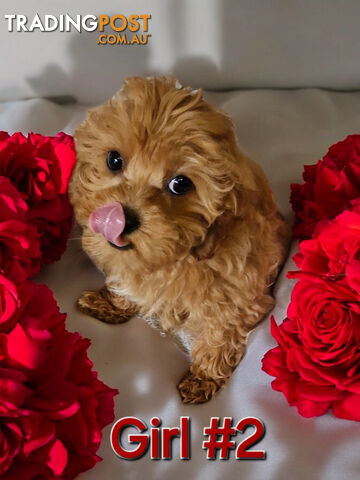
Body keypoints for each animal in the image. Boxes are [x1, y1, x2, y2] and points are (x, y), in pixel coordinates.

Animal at [68, 77, 290, 404]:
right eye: (114, 160)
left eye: (180, 184)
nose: (122, 218)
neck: (173, 257)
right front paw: (110, 303)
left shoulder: (238, 291)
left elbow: (220, 331)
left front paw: (204, 377)